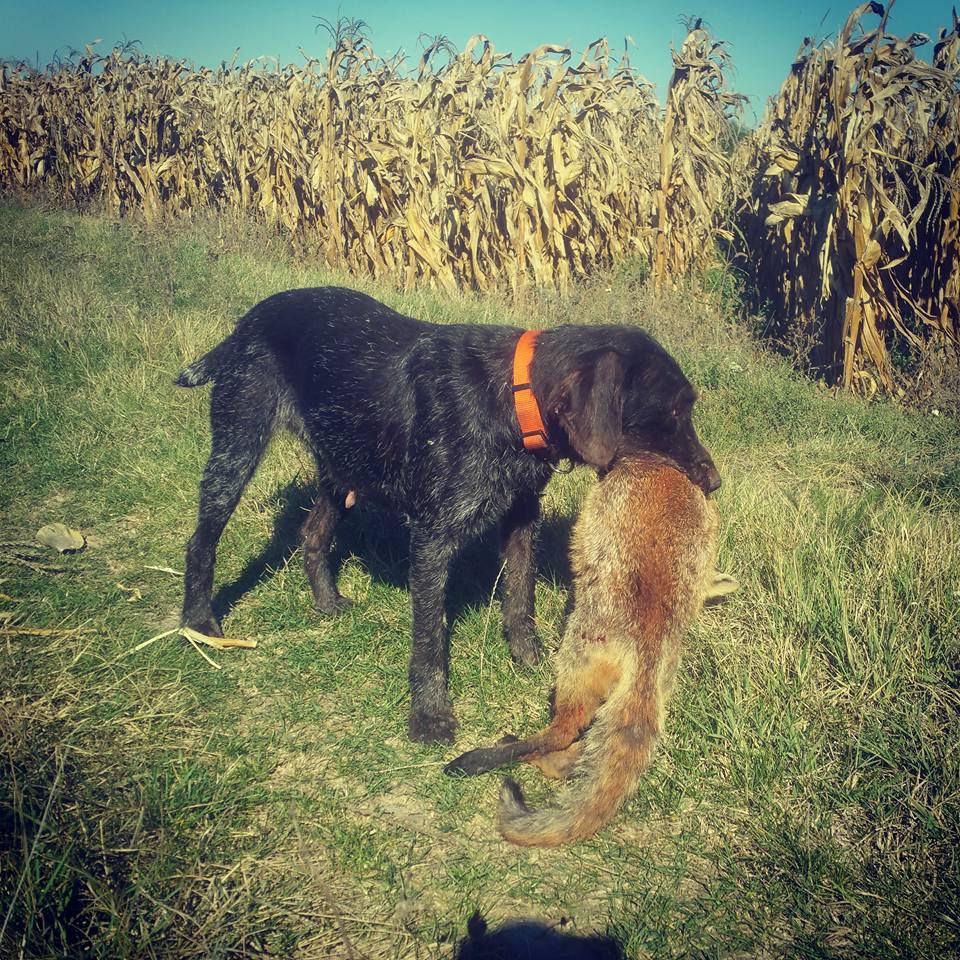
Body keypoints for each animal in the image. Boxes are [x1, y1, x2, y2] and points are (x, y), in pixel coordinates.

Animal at [174, 288, 720, 748]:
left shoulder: (521, 514)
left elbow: (519, 592)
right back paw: (200, 622)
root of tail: (248, 321)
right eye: (673, 412)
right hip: (237, 449)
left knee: (313, 533)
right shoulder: (433, 537)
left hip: (341, 463)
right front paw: (430, 714)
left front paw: (527, 655)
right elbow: (430, 639)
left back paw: (326, 601)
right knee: (202, 540)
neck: (511, 396)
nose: (713, 482)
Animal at [444, 454, 736, 844]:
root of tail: (647, 648)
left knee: (562, 733)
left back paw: (501, 750)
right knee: (575, 755)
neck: (660, 466)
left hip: (571, 665)